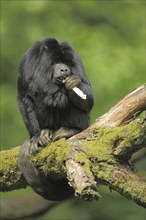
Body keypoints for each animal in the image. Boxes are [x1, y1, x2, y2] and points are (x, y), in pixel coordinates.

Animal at [18, 37, 93, 199]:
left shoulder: (77, 62)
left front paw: (74, 83)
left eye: (67, 63)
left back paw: (69, 130)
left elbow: (88, 96)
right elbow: (25, 97)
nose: (64, 69)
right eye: (56, 62)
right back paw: (45, 132)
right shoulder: (27, 63)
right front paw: (36, 137)